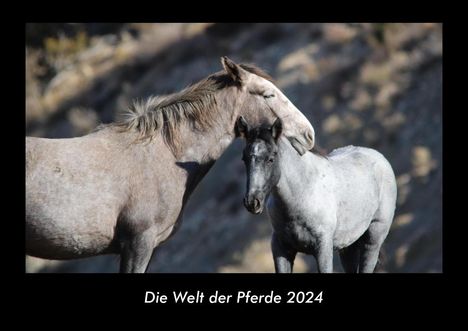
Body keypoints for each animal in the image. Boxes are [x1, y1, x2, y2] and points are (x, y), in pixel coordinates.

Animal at [239, 118, 396, 274]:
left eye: (271, 159)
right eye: (244, 159)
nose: (252, 202)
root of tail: (379, 158)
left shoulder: (323, 250)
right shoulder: (281, 249)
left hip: (373, 239)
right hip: (348, 246)